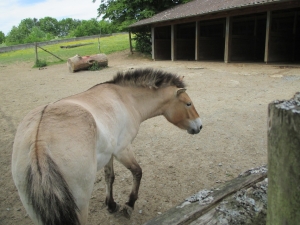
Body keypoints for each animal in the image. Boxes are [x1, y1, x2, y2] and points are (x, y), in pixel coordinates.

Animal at [12, 67, 203, 224]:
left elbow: (109, 177)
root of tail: (39, 142)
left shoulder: (108, 154)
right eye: (188, 103)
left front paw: (111, 205)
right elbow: (137, 172)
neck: (126, 99)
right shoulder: (122, 149)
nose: (200, 126)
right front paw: (129, 205)